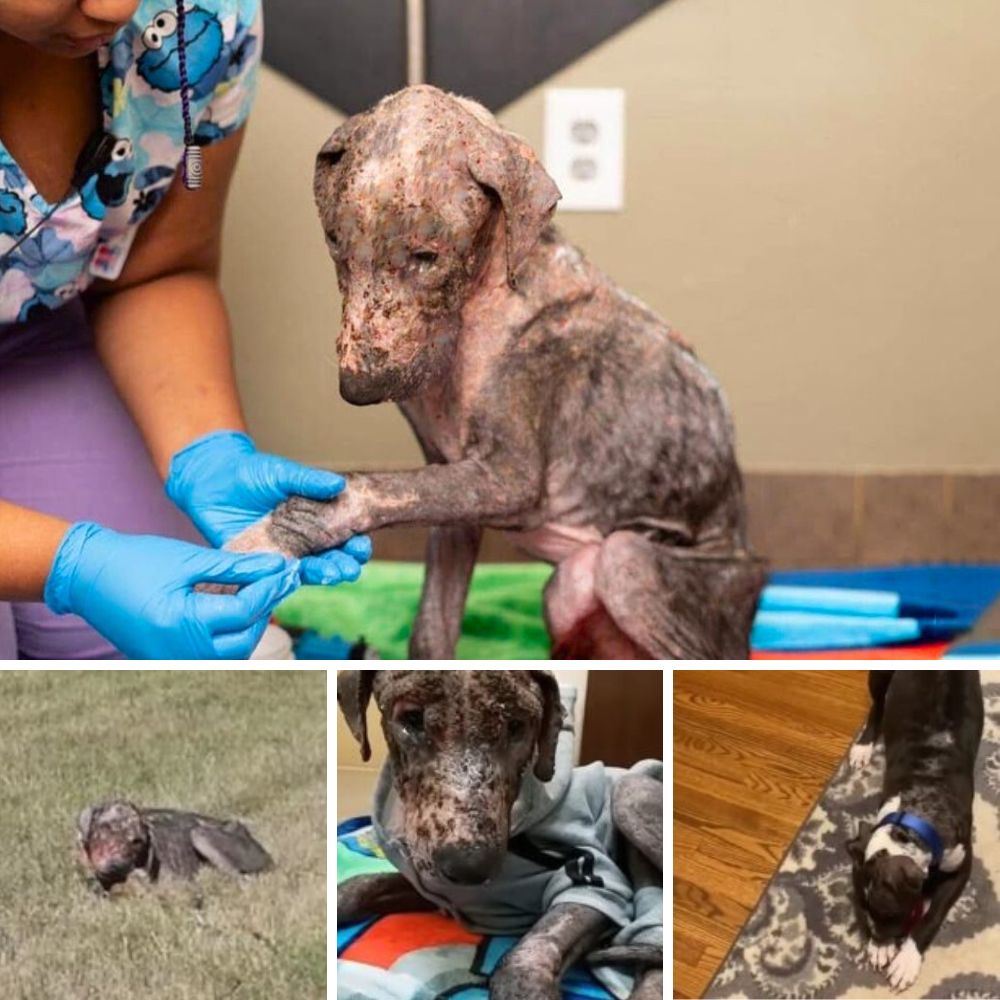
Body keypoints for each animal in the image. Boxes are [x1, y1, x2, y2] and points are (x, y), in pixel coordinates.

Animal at [229, 86, 764, 660]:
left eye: (426, 256)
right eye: (333, 241)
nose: (357, 389)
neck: (477, 302)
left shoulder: (508, 477)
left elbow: (360, 489)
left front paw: (265, 539)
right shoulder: (451, 489)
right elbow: (431, 628)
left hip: (631, 567)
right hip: (568, 591)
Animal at [338, 672, 664, 1000]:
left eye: (517, 726)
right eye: (412, 719)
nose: (470, 867)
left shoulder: (596, 882)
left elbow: (529, 953)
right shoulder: (437, 889)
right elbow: (358, 886)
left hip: (628, 792)